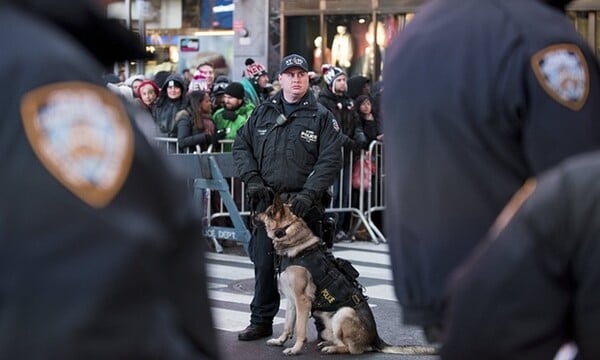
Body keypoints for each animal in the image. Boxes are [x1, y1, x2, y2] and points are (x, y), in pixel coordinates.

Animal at [255, 194, 438, 354]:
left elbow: (300, 329)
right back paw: (327, 344)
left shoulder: (302, 300)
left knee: (352, 349)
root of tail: (376, 339)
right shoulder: (292, 300)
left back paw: (332, 349)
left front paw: (295, 349)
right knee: (340, 341)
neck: (291, 239)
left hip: (344, 313)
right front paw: (280, 341)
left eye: (267, 211)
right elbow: (287, 325)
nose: (254, 215)